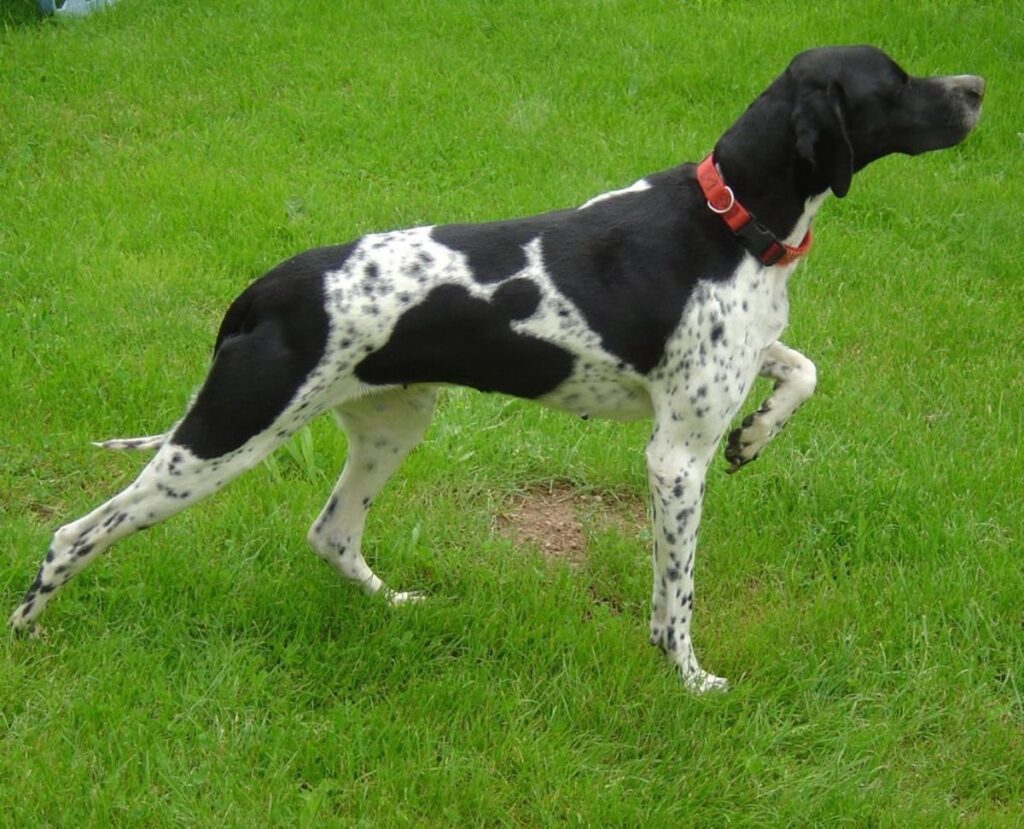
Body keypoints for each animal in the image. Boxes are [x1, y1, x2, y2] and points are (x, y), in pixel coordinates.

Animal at [9, 46, 983, 691]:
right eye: (895, 82)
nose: (977, 88)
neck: (728, 214)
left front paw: (759, 437)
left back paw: (396, 605)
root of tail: (264, 289)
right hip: (219, 442)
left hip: (392, 424)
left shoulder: (719, 381)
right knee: (73, 536)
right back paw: (26, 633)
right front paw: (689, 679)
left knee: (331, 532)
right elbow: (676, 595)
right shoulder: (673, 458)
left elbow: (802, 368)